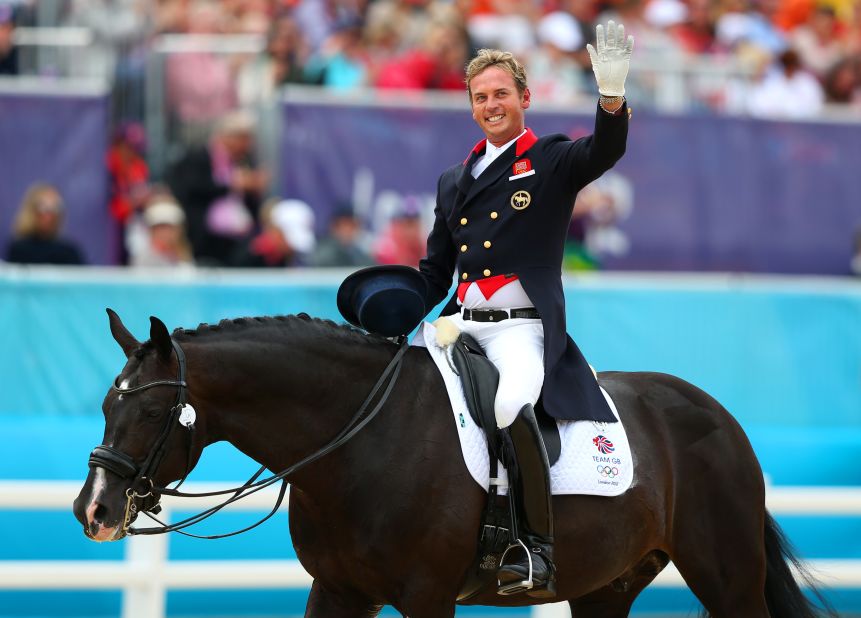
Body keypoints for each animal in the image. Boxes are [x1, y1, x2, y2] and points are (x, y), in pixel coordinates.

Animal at [75, 310, 832, 612]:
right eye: (106, 406)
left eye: (150, 414)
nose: (94, 510)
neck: (356, 443)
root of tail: (717, 415)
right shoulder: (339, 590)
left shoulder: (427, 596)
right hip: (605, 588)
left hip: (728, 579)